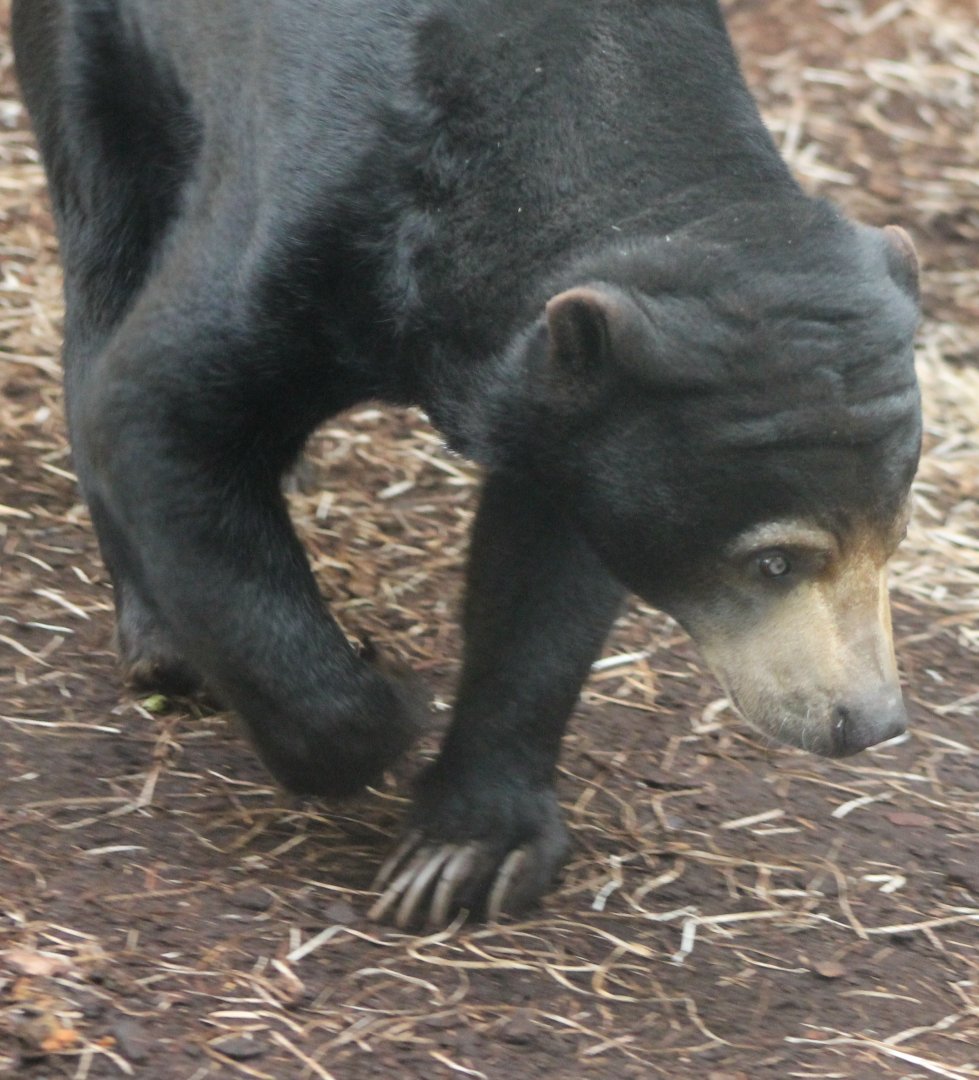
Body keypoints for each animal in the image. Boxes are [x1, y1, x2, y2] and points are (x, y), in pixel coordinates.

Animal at [12, 0, 921, 928]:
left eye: (895, 540)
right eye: (772, 561)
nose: (867, 723)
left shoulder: (571, 405)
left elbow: (543, 582)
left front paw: (465, 854)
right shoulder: (318, 211)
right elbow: (154, 402)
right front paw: (383, 707)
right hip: (99, 58)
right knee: (108, 263)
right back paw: (170, 646)